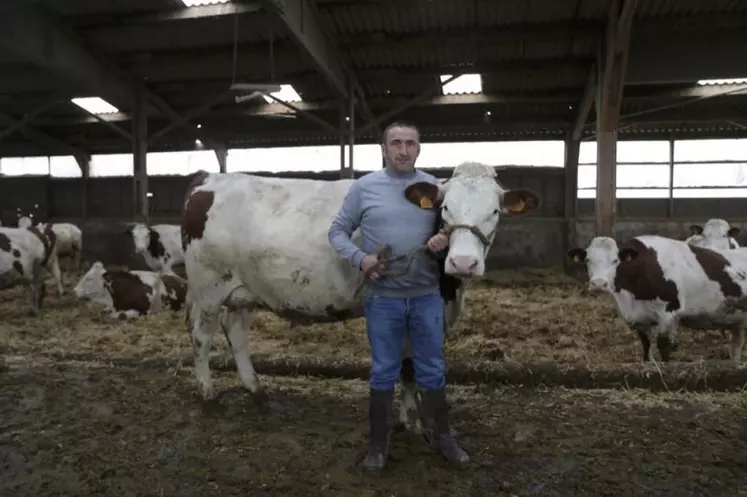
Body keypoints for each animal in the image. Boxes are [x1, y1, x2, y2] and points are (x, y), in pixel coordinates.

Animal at [180, 162, 540, 430]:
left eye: (495, 212)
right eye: (446, 208)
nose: (463, 262)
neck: (452, 293)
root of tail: (209, 178)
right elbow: (408, 365)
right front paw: (410, 420)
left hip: (242, 292)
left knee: (237, 334)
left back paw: (257, 392)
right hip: (208, 289)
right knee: (201, 337)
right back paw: (208, 395)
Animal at [568, 234, 747, 362]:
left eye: (615, 260)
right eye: (588, 260)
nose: (599, 284)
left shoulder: (669, 313)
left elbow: (664, 346)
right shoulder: (640, 320)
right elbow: (647, 348)